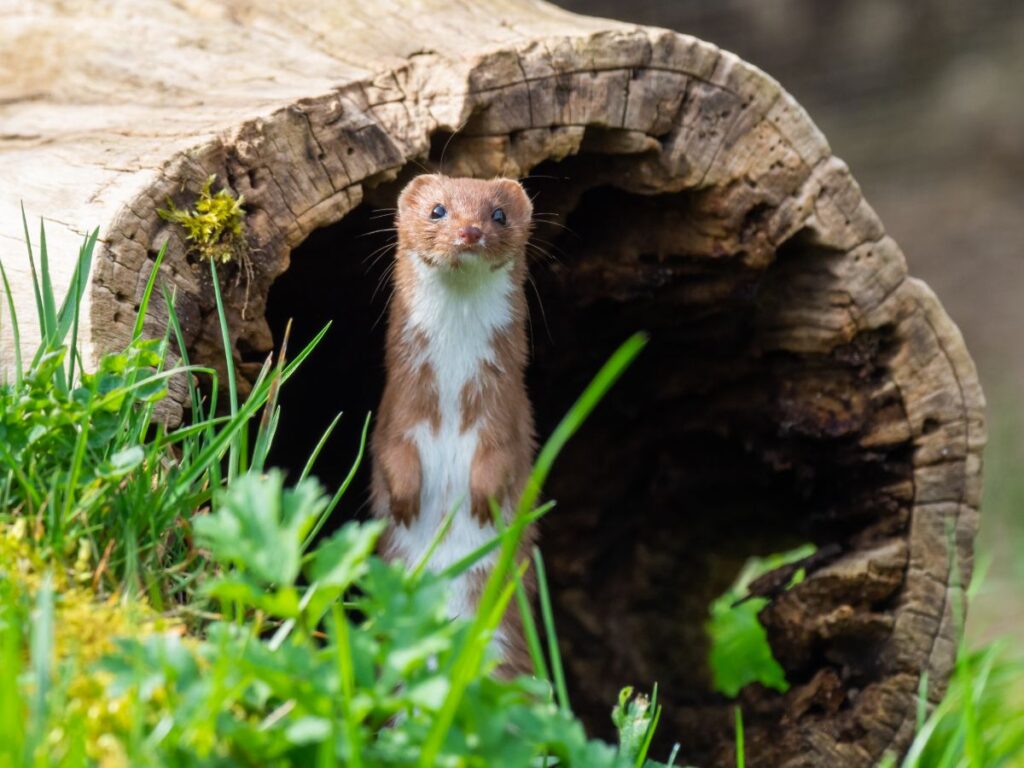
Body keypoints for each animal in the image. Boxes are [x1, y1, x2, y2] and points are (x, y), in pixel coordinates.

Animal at [370, 173, 536, 671]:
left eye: (498, 214)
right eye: (437, 210)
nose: (469, 231)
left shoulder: (506, 413)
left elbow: (502, 457)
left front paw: (484, 497)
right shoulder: (396, 409)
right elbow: (390, 452)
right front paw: (405, 498)